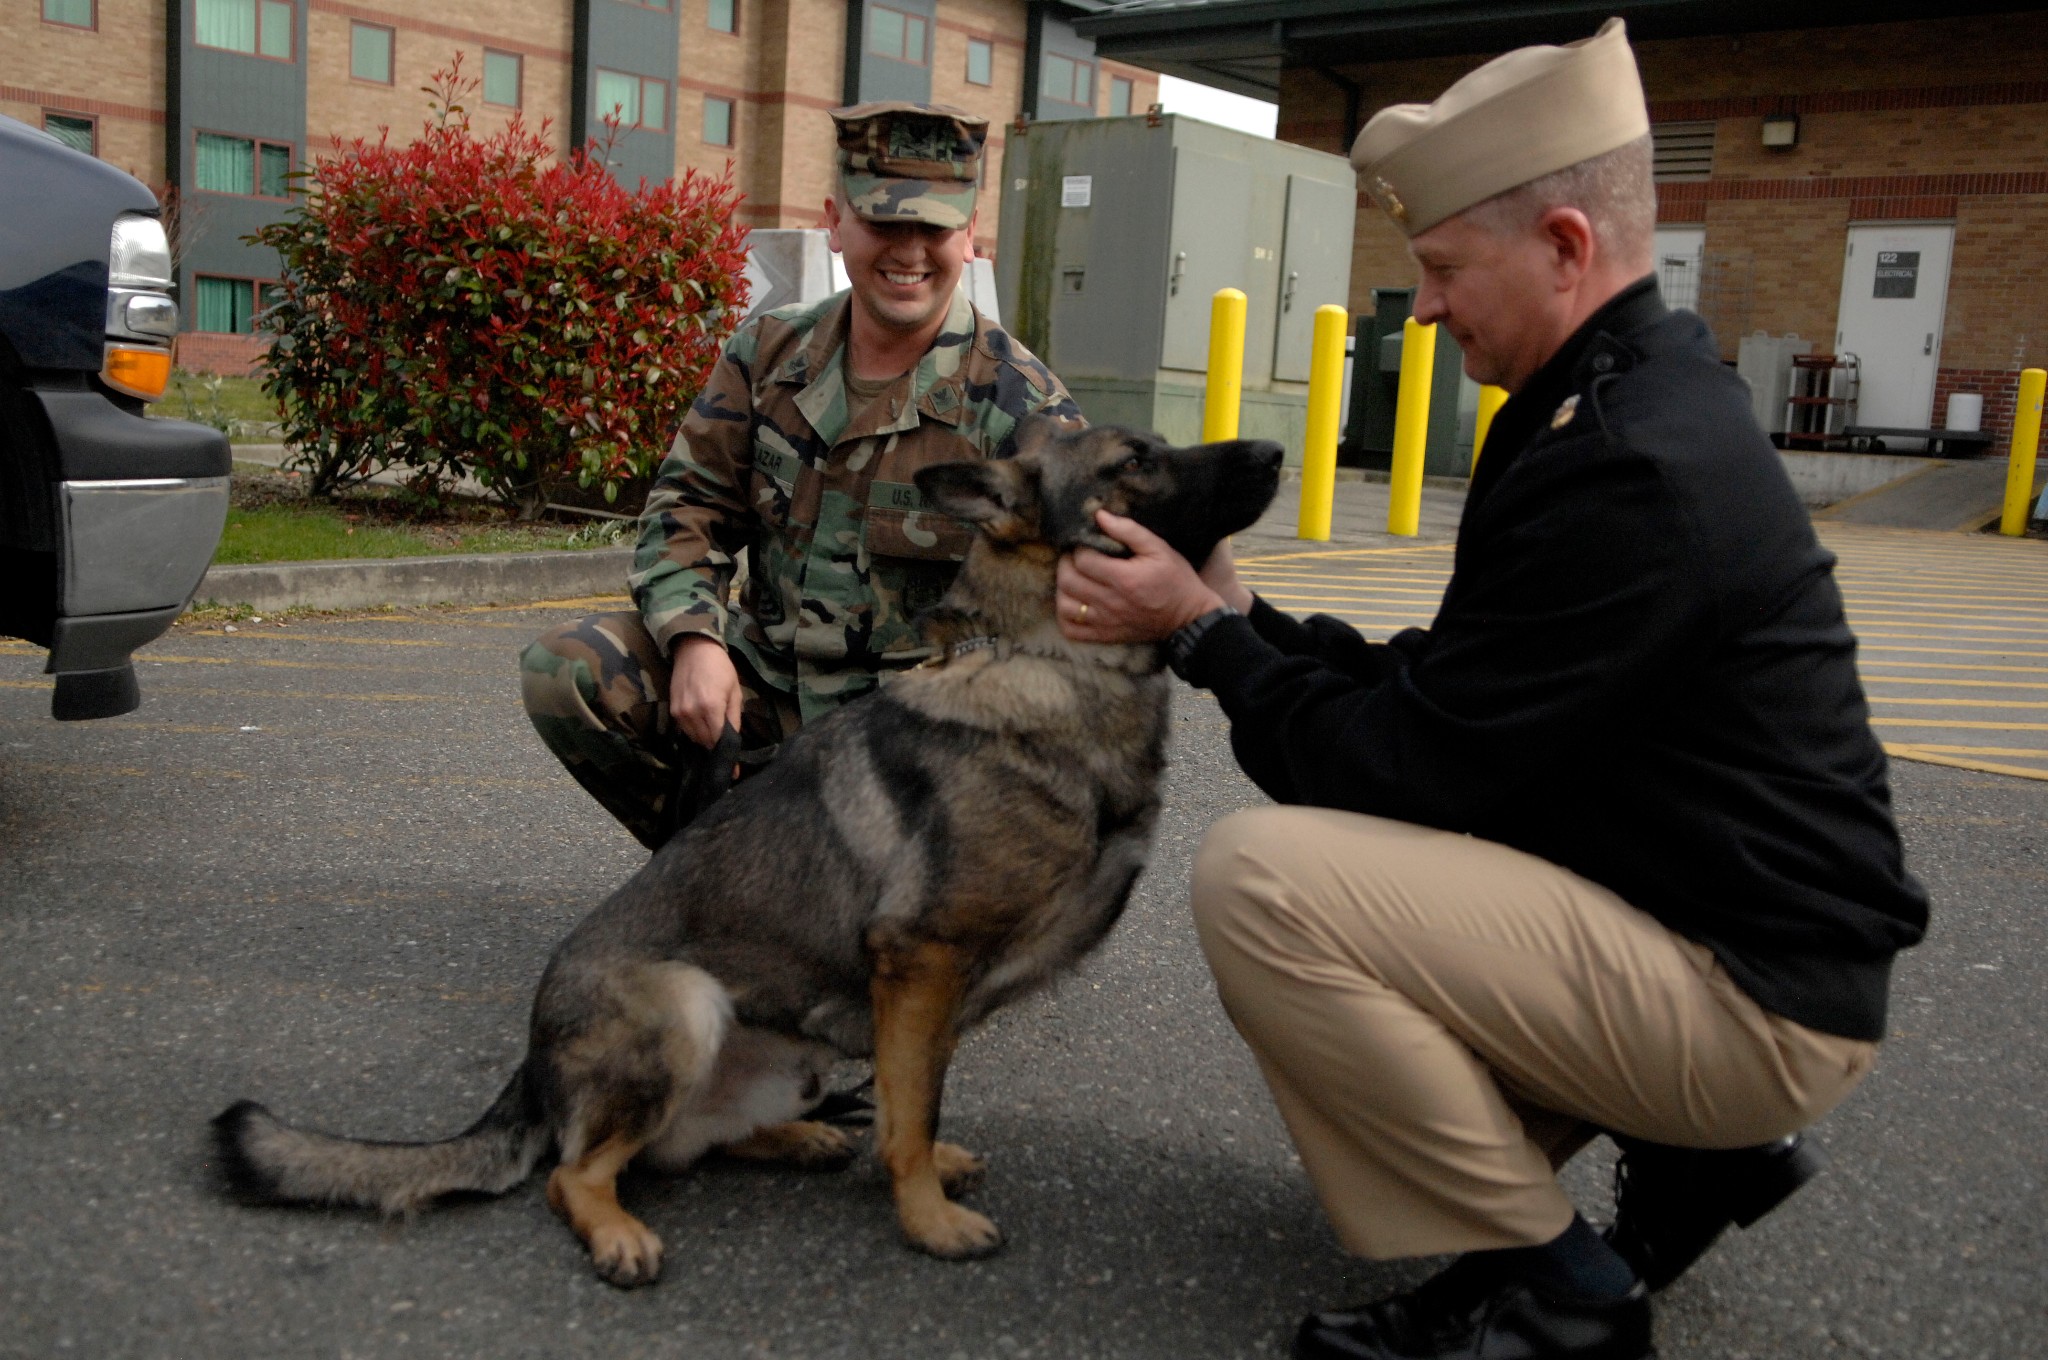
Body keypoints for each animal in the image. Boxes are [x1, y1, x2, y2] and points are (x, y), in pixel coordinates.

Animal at [220, 421, 1277, 1286]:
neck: (1051, 665)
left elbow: (911, 1101)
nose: (1274, 451)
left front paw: (918, 1170)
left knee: (688, 1147)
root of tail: (531, 1059)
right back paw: (620, 1233)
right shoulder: (922, 962)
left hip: (787, 1053)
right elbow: (913, 1110)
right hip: (686, 1007)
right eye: (1134, 461)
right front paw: (927, 1217)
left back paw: (802, 1137)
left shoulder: (924, 997)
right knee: (577, 1172)